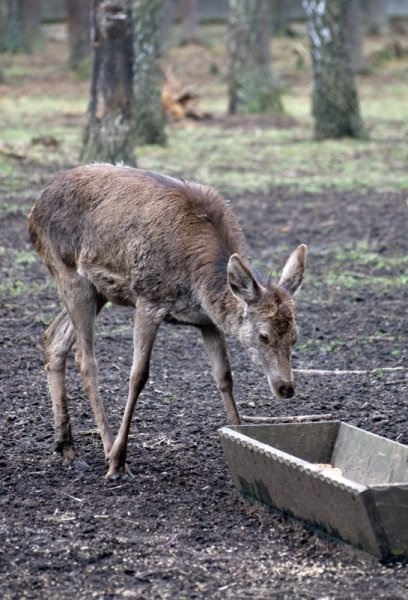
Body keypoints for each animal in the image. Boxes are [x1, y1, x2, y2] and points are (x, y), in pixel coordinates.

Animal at [27, 163, 306, 478]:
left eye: (295, 336)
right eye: (263, 335)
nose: (286, 388)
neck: (196, 282)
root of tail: (34, 209)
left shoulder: (206, 321)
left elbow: (224, 376)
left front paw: (240, 436)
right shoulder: (148, 300)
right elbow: (138, 376)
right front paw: (118, 459)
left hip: (98, 290)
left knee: (54, 338)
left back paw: (66, 448)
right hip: (69, 272)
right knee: (85, 360)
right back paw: (108, 450)